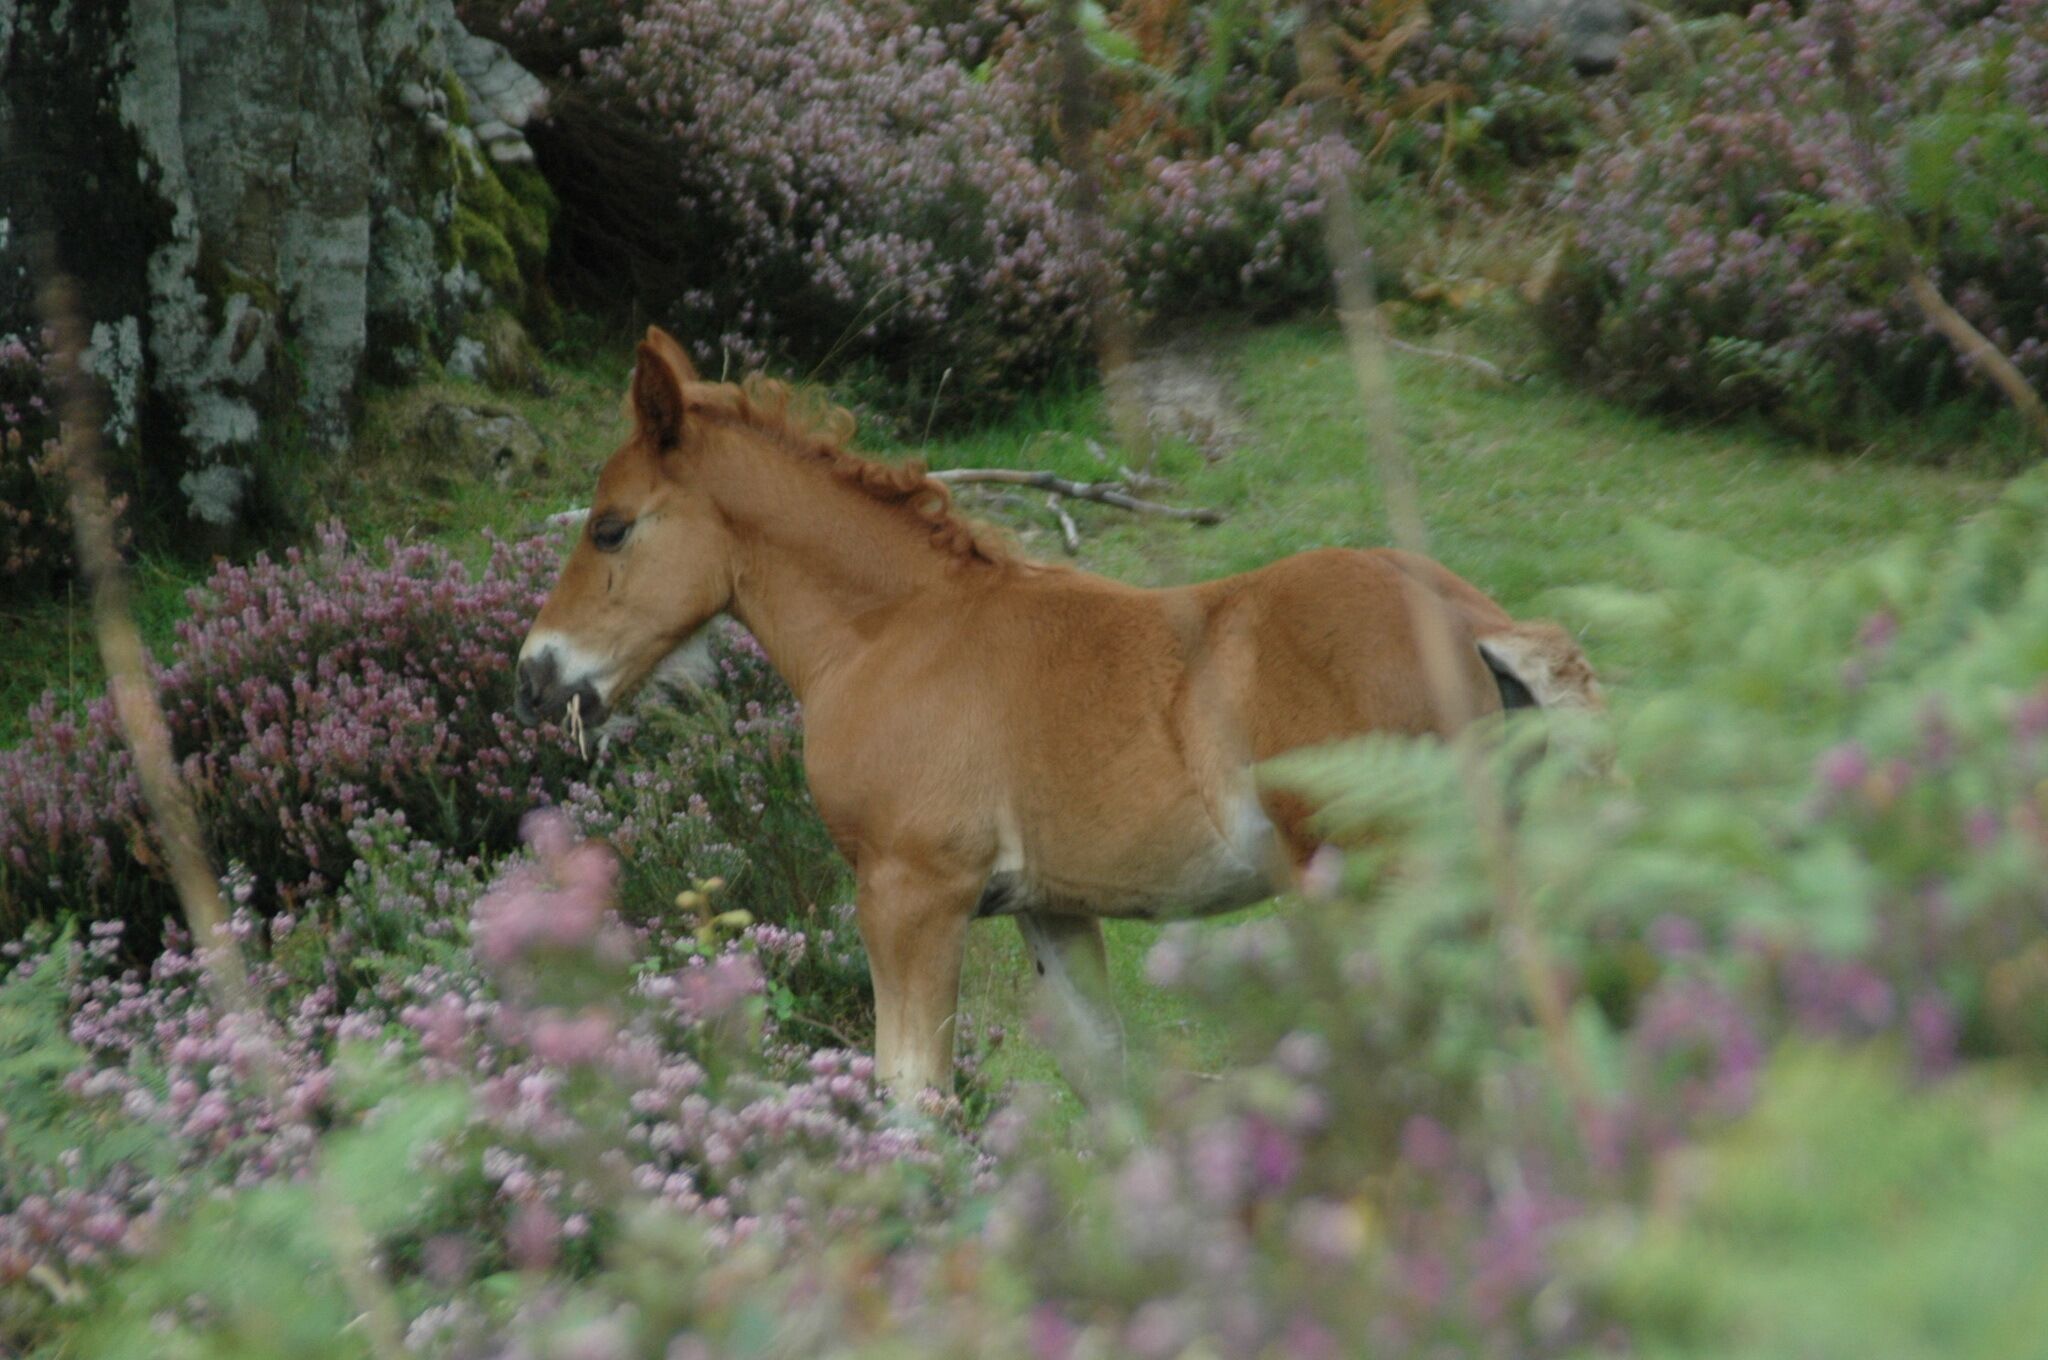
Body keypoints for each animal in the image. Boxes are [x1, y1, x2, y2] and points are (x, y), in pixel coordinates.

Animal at [514, 327, 1602, 1099]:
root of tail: (1477, 623)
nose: (536, 673)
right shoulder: (1051, 909)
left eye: (610, 527)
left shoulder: (912, 893)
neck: (894, 630)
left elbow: (910, 1094)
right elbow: (1105, 1081)